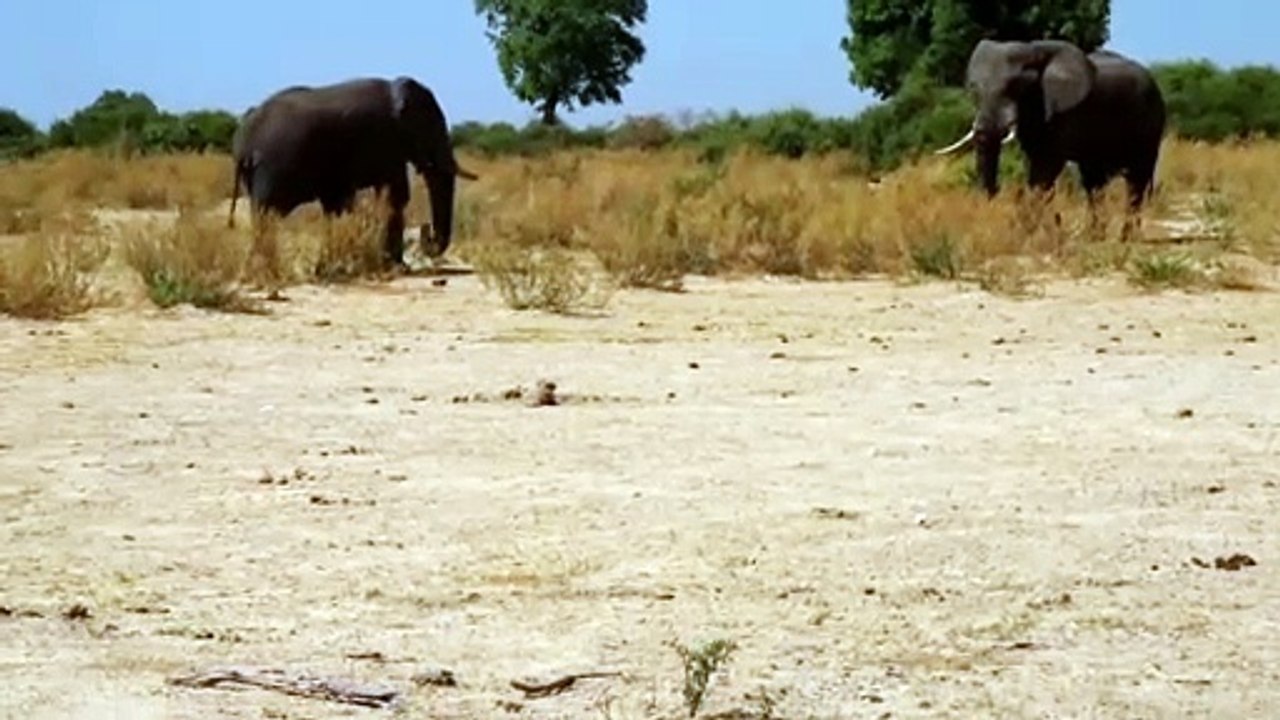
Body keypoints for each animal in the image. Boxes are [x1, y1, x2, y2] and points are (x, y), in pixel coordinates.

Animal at [228, 76, 477, 268]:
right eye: (433, 128)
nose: (427, 234)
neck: (396, 89)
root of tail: (243, 142)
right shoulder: (384, 139)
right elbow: (396, 195)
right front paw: (397, 267)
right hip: (270, 170)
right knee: (266, 214)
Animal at [935, 39, 1167, 213]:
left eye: (1017, 86)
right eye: (973, 90)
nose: (997, 192)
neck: (1033, 50)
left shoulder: (1063, 113)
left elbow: (1045, 168)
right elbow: (1035, 165)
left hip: (1151, 124)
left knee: (1136, 182)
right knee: (1094, 183)